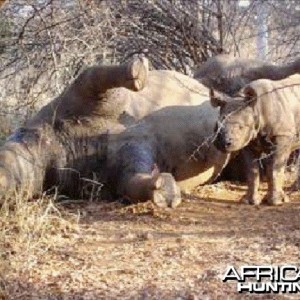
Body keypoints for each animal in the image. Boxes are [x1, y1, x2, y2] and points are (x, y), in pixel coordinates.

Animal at [0, 55, 229, 206]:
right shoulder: (114, 171)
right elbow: (132, 181)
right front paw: (164, 190)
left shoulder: (81, 98)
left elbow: (91, 75)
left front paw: (138, 70)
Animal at [210, 74, 300, 206]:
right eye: (216, 126)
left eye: (241, 127)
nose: (222, 143)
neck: (257, 108)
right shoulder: (247, 141)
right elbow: (252, 170)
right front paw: (249, 201)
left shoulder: (282, 135)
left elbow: (275, 168)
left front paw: (276, 201)